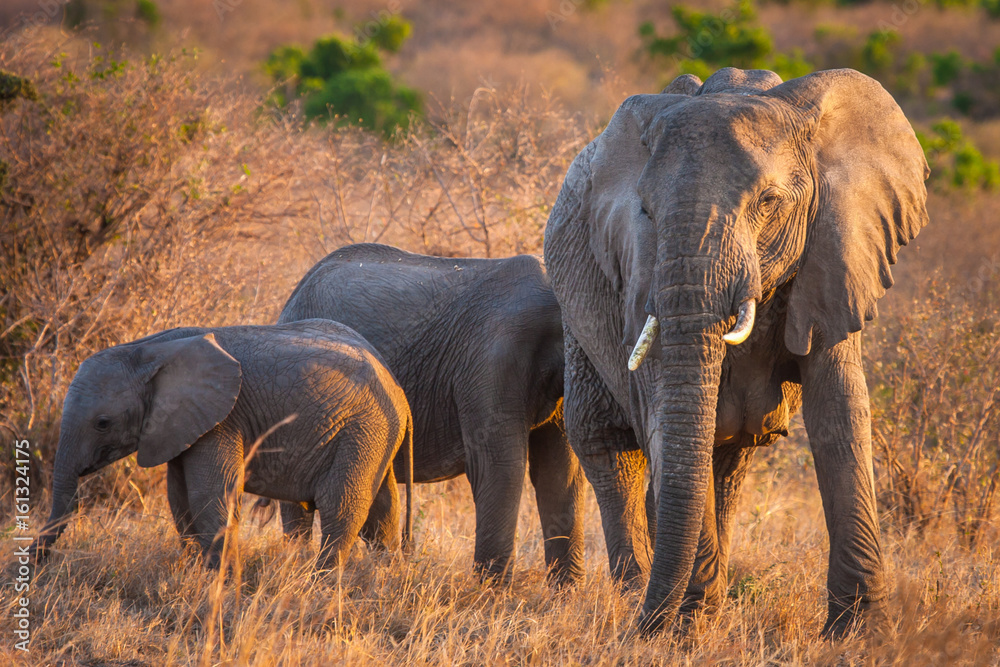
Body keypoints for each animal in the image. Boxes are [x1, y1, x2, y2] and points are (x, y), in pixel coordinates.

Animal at [31, 319, 413, 571]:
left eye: (102, 423)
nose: (33, 566)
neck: (147, 349)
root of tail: (396, 385)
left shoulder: (221, 419)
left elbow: (210, 493)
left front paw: (220, 580)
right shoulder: (179, 424)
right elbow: (179, 496)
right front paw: (193, 571)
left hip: (362, 429)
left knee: (341, 506)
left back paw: (321, 583)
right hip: (374, 436)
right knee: (383, 509)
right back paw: (384, 575)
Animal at [271, 243, 585, 583]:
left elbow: (560, 471)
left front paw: (567, 594)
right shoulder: (491, 357)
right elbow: (499, 466)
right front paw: (490, 593)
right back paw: (297, 563)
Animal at [543, 67, 929, 636]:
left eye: (768, 203)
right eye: (645, 212)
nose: (642, 628)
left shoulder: (835, 254)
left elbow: (840, 413)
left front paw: (861, 635)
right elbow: (667, 422)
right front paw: (685, 633)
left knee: (727, 461)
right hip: (576, 311)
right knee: (608, 446)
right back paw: (639, 593)